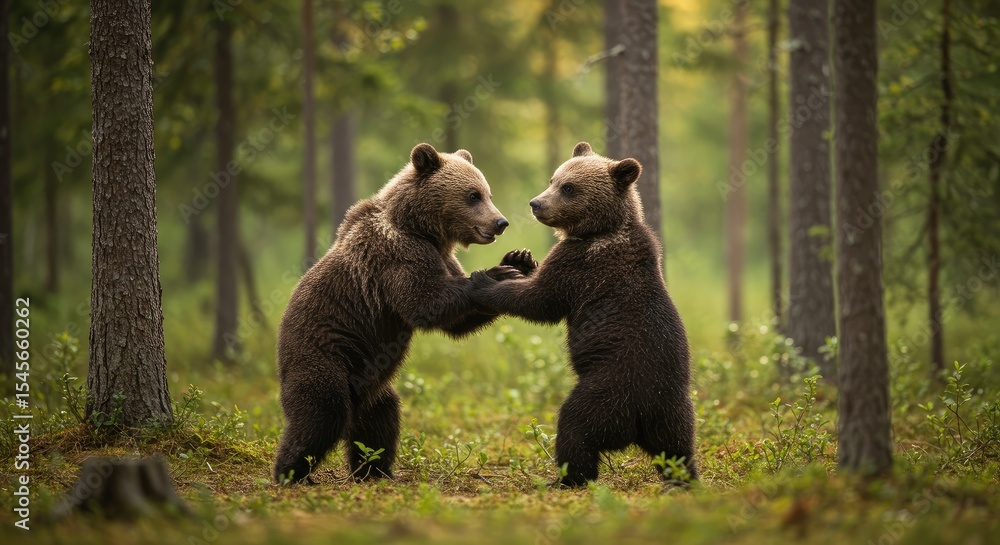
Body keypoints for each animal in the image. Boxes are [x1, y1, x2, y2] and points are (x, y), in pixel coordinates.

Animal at [274, 143, 528, 484]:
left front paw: (520, 259)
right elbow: (426, 302)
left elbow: (458, 321)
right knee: (321, 413)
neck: (420, 228)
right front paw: (495, 273)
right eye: (473, 195)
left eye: (487, 193)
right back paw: (291, 472)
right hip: (323, 357)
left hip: (371, 380)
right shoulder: (397, 256)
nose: (500, 222)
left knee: (381, 418)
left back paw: (375, 470)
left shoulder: (442, 256)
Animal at [469, 141, 697, 486]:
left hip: (608, 388)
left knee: (576, 427)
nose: (536, 203)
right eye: (553, 179)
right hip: (674, 409)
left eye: (568, 187)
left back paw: (565, 478)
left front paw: (485, 282)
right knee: (679, 448)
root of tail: (640, 418)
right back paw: (683, 479)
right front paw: (520, 257)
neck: (600, 229)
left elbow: (540, 299)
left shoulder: (581, 265)